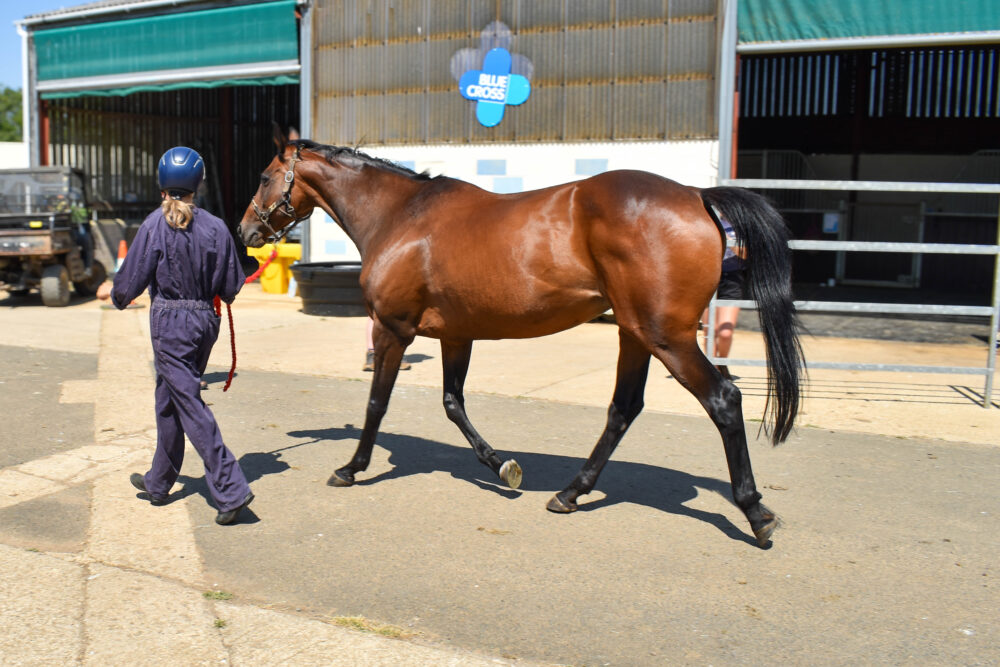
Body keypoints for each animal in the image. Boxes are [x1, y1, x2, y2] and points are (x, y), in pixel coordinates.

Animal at [239, 129, 804, 547]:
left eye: (265, 177)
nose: (246, 233)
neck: (400, 217)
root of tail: (697, 196)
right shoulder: (456, 336)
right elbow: (453, 403)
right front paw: (503, 467)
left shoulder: (392, 329)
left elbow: (377, 403)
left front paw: (351, 468)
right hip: (636, 334)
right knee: (623, 409)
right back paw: (570, 493)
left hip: (668, 337)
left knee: (724, 400)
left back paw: (756, 513)